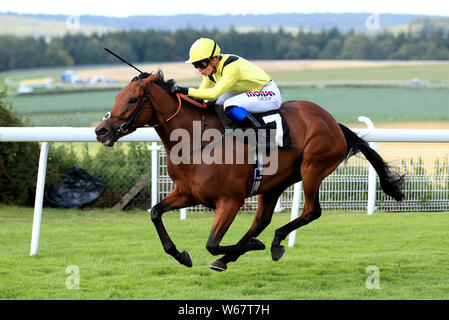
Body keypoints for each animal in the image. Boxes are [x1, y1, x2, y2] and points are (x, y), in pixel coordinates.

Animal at [94, 71, 402, 272]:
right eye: (118, 96)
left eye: (132, 100)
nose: (101, 131)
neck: (196, 141)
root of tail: (333, 122)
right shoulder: (188, 194)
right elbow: (156, 213)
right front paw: (182, 255)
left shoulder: (230, 200)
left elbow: (212, 243)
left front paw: (253, 246)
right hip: (275, 182)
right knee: (262, 220)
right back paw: (246, 251)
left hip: (313, 168)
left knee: (311, 211)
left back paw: (271, 243)